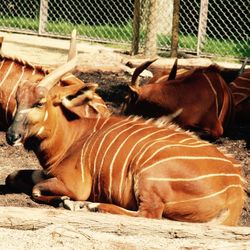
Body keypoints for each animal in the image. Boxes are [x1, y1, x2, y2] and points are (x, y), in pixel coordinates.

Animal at [5, 57, 246, 227]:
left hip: (149, 180)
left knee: (148, 214)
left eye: (40, 102)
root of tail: (236, 190)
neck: (73, 135)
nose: (11, 136)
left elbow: (36, 190)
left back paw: (89, 206)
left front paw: (64, 201)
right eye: (17, 100)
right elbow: (12, 176)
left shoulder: (74, 185)